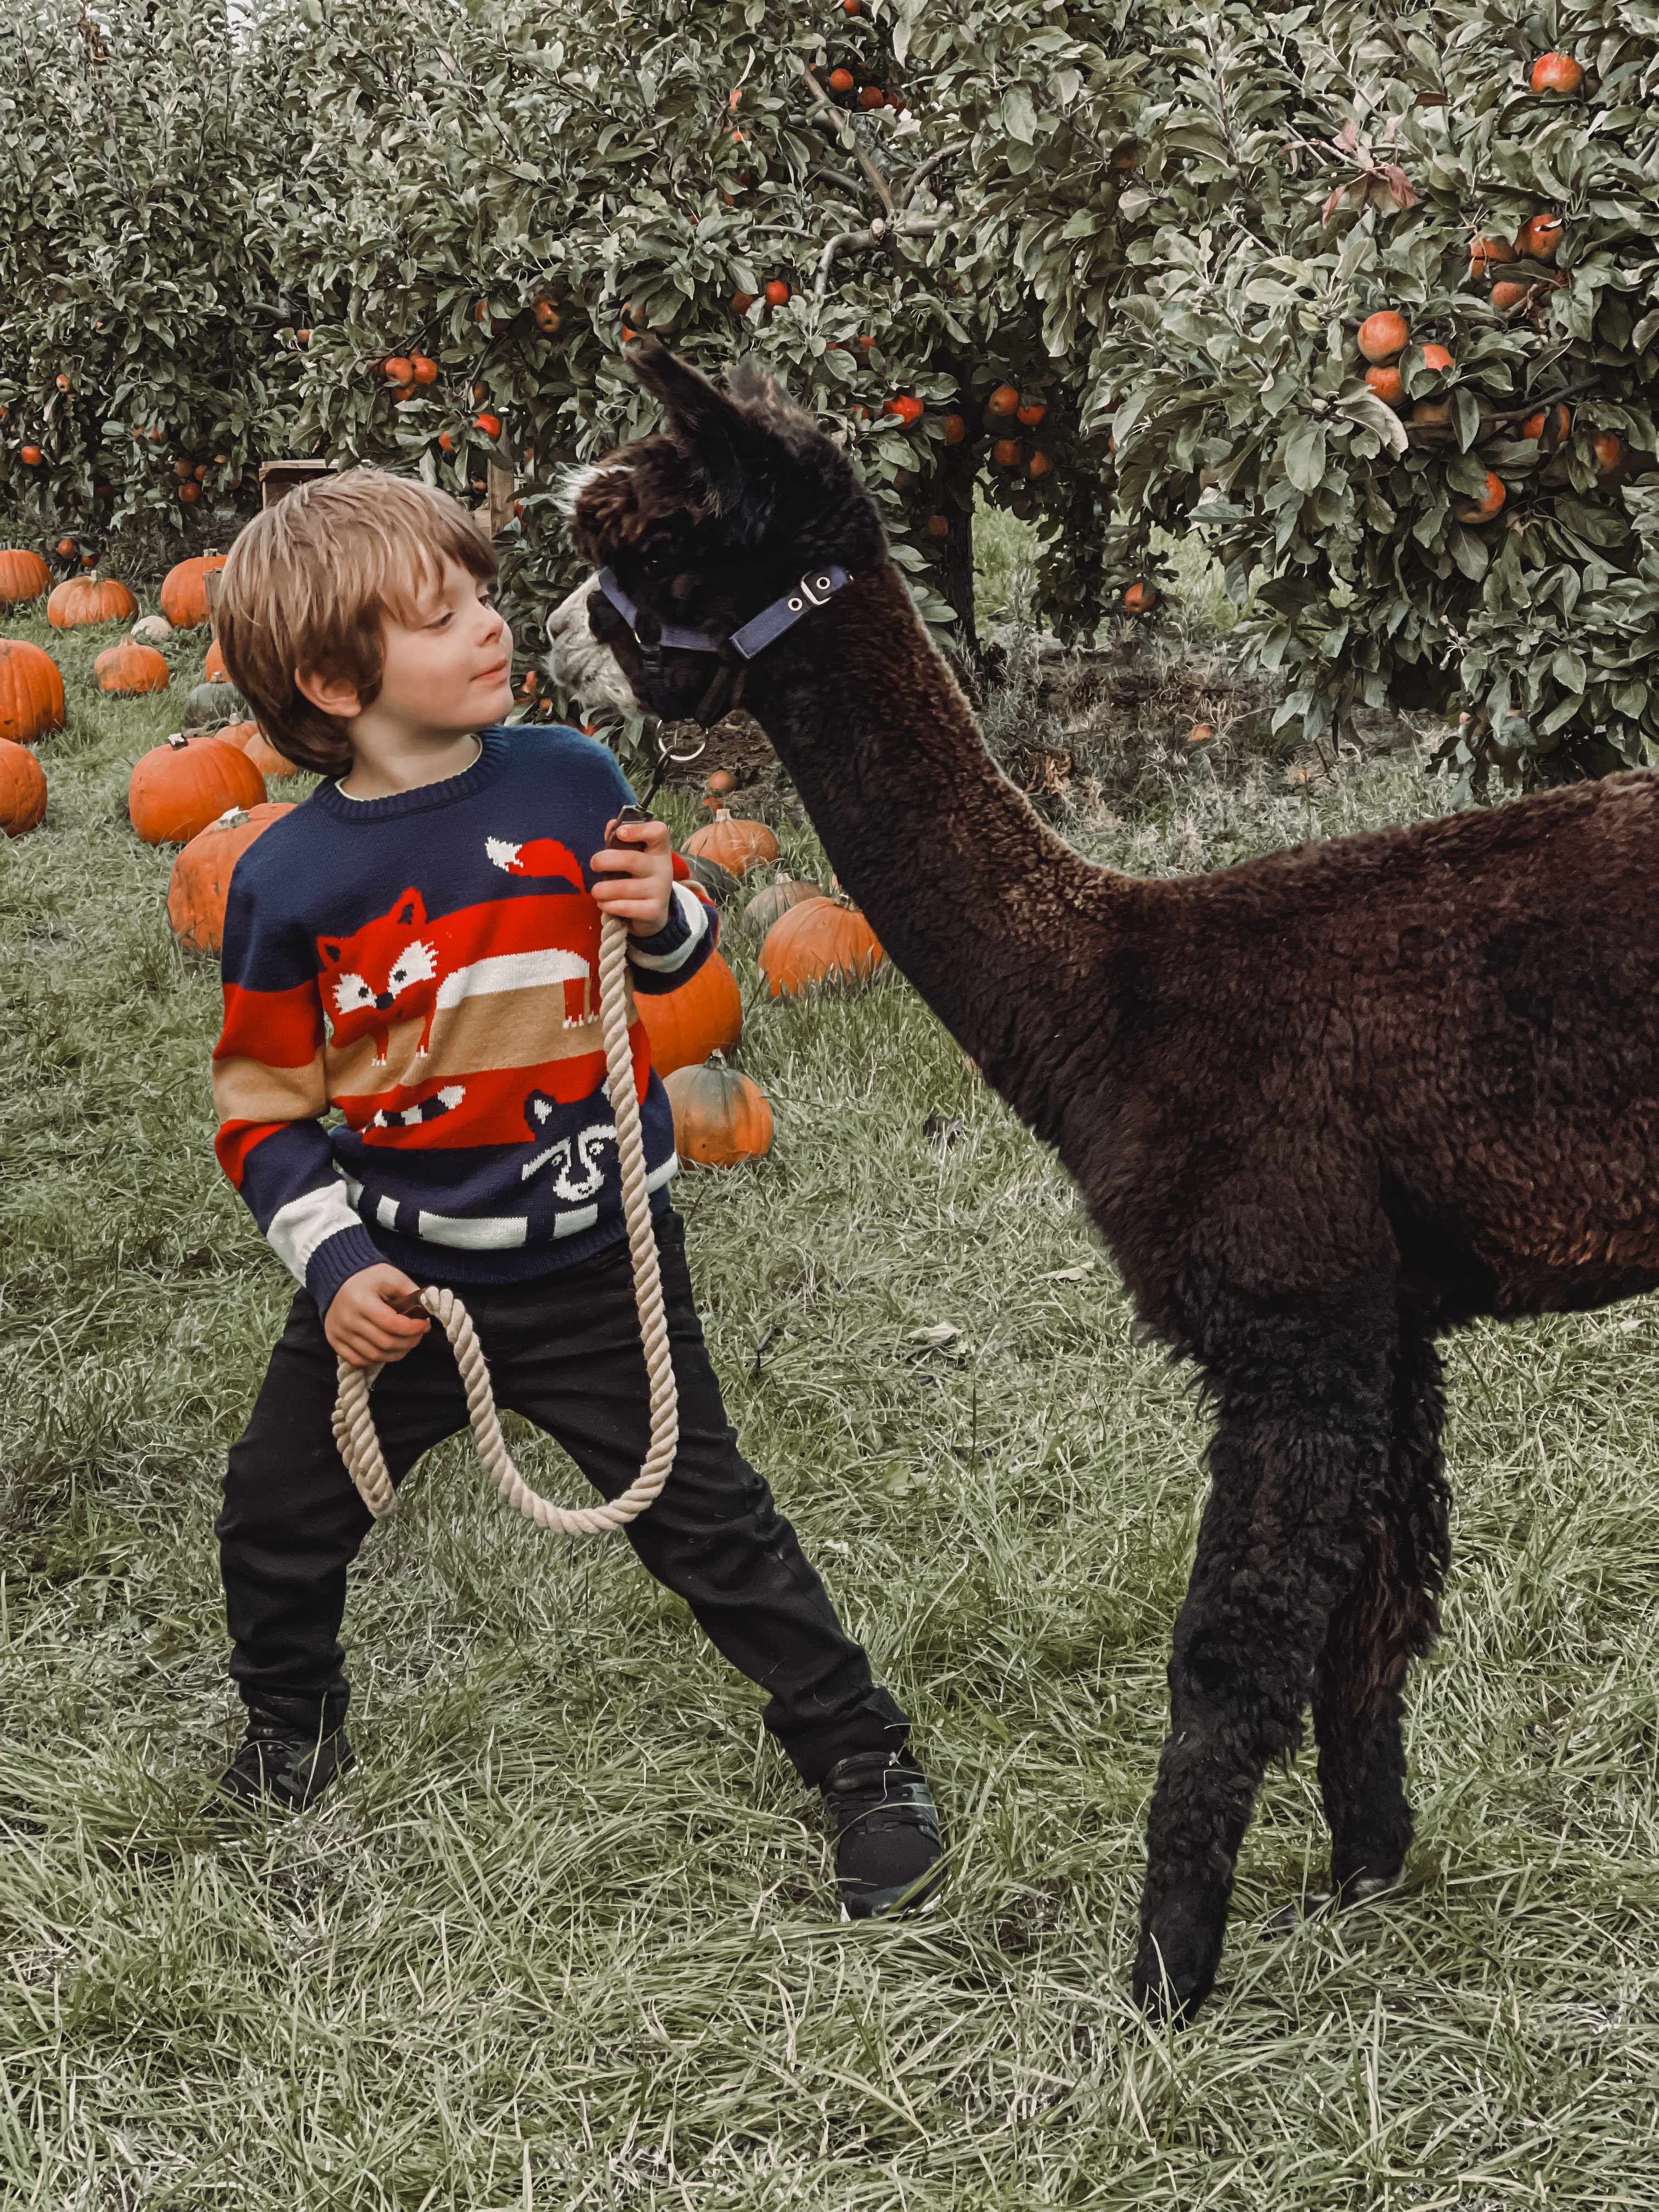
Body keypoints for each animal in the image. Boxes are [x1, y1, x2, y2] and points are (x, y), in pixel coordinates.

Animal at [549, 337, 1659, 2024]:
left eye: (650, 540)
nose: (555, 640)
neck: (1113, 998)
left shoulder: (1291, 1313)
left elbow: (1229, 1654)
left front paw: (1163, 1978)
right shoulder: (1384, 1315)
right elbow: (1375, 1619)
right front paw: (1362, 1884)